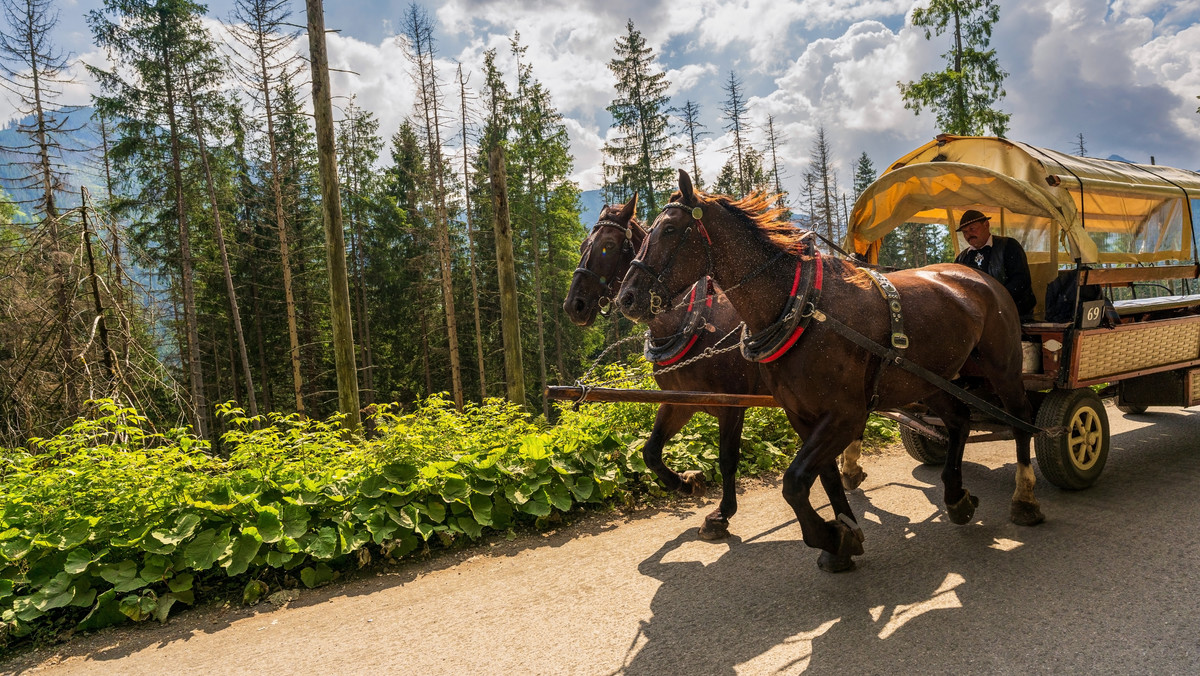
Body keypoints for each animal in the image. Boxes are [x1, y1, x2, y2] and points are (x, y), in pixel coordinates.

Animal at [561, 196, 864, 540]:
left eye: (608, 246)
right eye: (583, 245)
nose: (573, 305)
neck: (689, 321)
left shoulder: (731, 403)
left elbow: (727, 458)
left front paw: (722, 514)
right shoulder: (680, 401)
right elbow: (651, 452)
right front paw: (686, 482)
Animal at [619, 171, 1041, 573]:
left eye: (669, 230)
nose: (627, 298)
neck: (802, 307)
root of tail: (980, 277)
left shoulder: (843, 414)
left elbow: (792, 482)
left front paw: (829, 536)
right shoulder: (801, 415)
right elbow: (824, 478)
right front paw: (845, 535)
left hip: (1003, 369)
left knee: (1021, 421)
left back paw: (1024, 498)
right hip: (928, 380)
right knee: (958, 421)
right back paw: (956, 497)